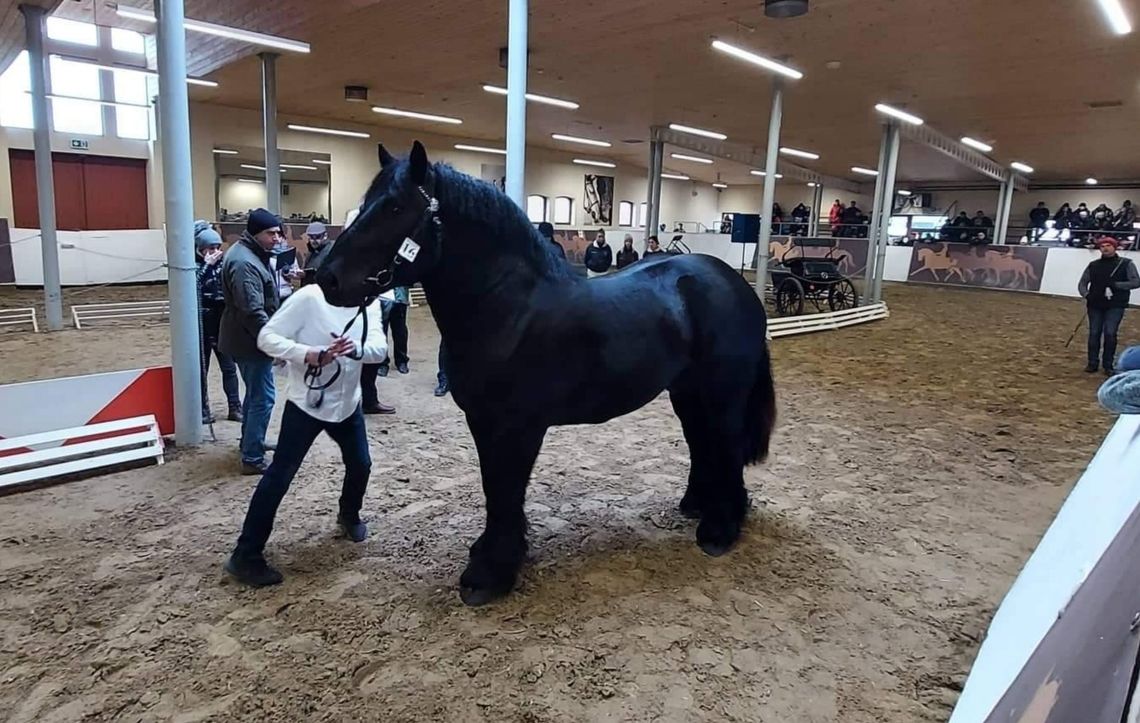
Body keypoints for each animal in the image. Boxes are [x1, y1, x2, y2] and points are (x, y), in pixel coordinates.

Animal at [319, 140, 775, 602]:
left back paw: (720, 529)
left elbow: (506, 488)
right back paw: (698, 506)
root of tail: (732, 282)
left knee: (726, 444)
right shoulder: (482, 422)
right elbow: (494, 487)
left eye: (395, 207)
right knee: (703, 442)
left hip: (723, 393)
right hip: (688, 393)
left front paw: (490, 574)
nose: (325, 277)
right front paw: (493, 554)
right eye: (365, 203)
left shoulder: (517, 426)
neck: (509, 308)